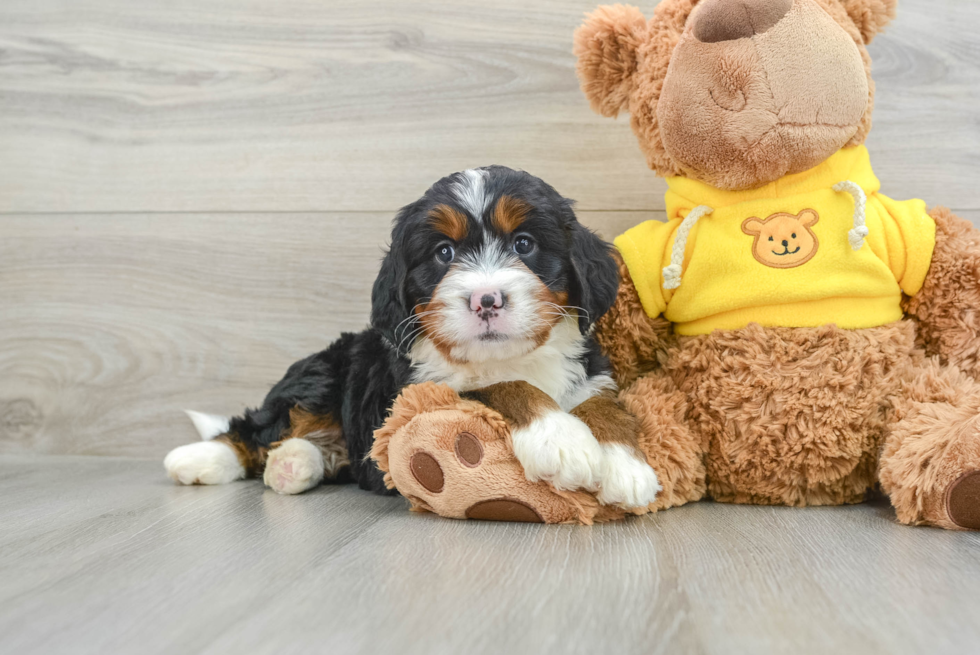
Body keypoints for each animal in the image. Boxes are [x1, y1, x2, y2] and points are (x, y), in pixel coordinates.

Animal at [165, 167, 664, 510]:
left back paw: (294, 464)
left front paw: (626, 467)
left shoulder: (591, 369)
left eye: (524, 244)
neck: (510, 355)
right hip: (321, 374)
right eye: (443, 253)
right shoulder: (426, 391)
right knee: (256, 426)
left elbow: (603, 404)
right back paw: (200, 459)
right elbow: (504, 385)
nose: (486, 299)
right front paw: (560, 439)